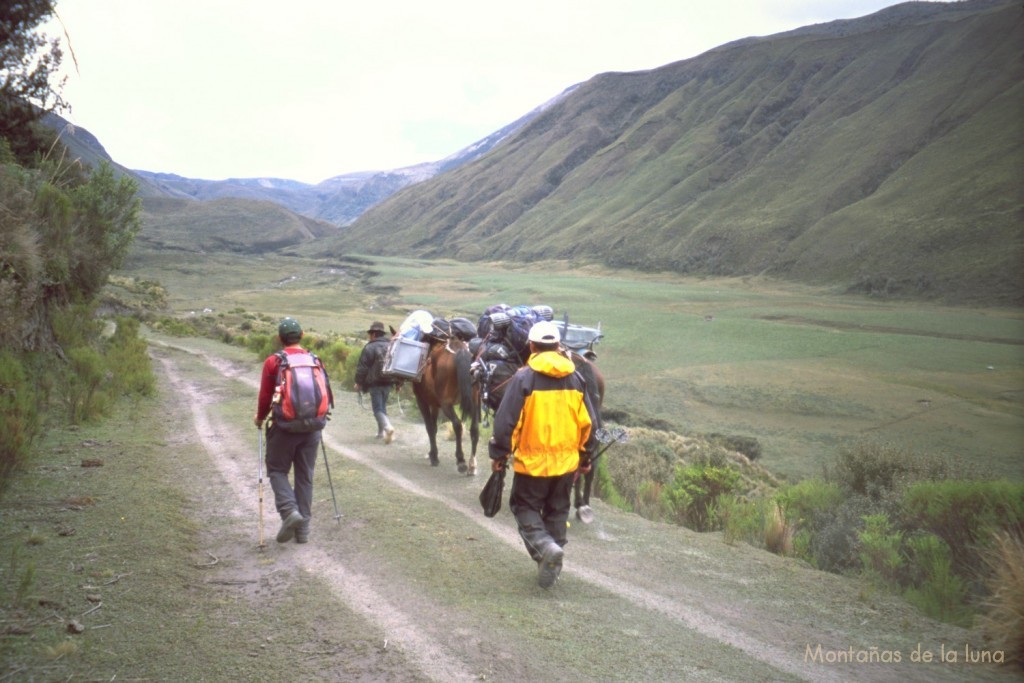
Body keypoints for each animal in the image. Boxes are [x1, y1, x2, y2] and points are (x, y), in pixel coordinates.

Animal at [411, 335, 479, 475]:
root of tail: (460, 350)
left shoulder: (422, 400)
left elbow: (430, 428)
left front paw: (434, 456)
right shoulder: (434, 404)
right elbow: (434, 427)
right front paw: (432, 453)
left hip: (446, 404)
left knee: (457, 425)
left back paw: (461, 461)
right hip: (475, 402)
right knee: (474, 428)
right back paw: (472, 465)